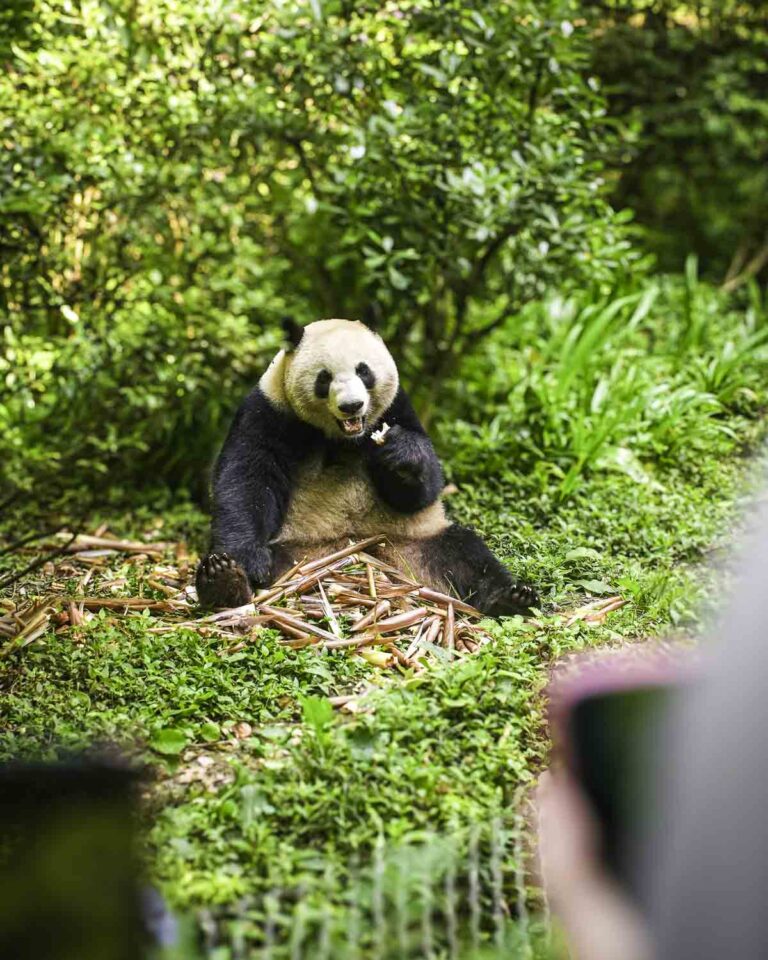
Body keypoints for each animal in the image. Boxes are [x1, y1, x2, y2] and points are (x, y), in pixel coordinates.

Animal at [196, 317, 539, 617]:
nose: (352, 406)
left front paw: (400, 455)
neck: (343, 437)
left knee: (466, 555)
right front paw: (246, 560)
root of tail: (371, 558)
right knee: (274, 564)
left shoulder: (397, 406)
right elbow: (246, 478)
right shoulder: (269, 411)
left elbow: (423, 488)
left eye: (364, 371)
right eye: (324, 378)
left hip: (416, 539)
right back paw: (224, 580)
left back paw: (512, 598)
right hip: (298, 556)